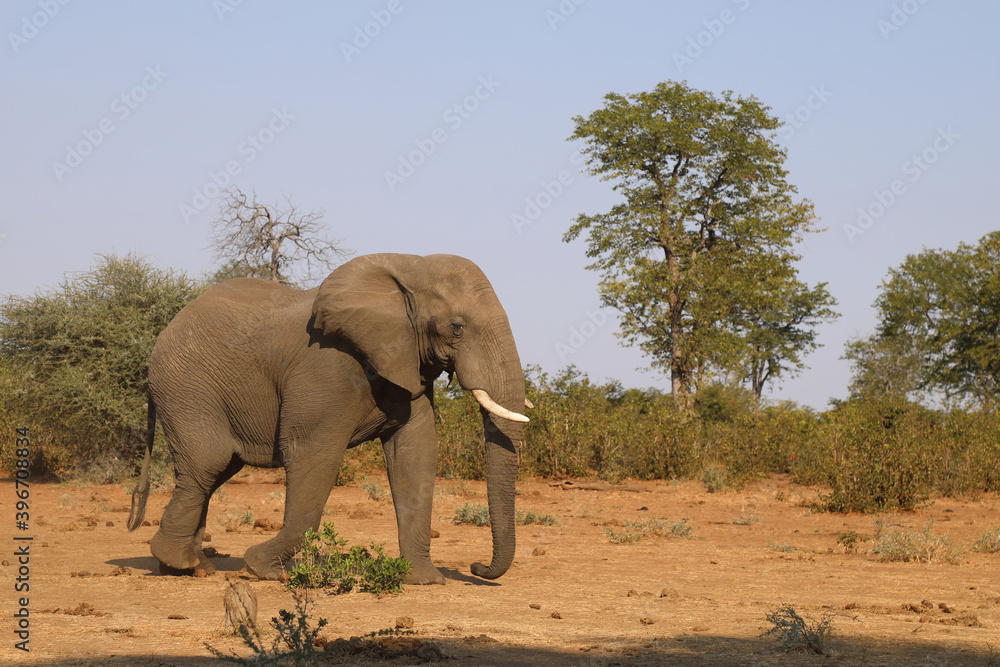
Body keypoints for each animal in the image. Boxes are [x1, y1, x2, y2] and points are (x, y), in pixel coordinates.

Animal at [129, 254, 532, 584]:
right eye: (457, 327)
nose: (476, 567)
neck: (407, 268)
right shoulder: (327, 367)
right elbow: (312, 455)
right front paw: (263, 570)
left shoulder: (407, 365)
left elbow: (415, 455)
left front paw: (425, 580)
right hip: (187, 387)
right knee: (207, 464)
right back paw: (183, 564)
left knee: (214, 472)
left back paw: (188, 566)